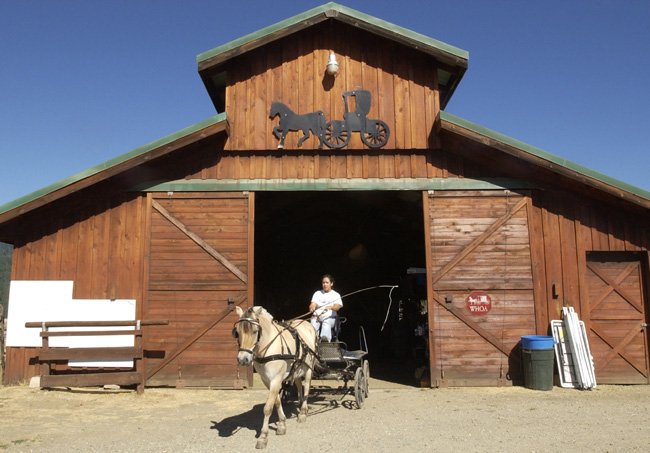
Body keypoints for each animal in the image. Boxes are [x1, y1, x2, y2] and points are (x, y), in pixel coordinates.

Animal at [232, 304, 318, 448]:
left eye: (255, 331)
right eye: (237, 332)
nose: (243, 359)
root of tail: (307, 323)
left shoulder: (276, 380)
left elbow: (268, 408)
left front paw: (263, 437)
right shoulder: (267, 381)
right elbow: (277, 402)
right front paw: (282, 424)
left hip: (308, 368)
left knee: (306, 388)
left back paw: (302, 412)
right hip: (297, 369)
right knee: (299, 385)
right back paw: (300, 403)